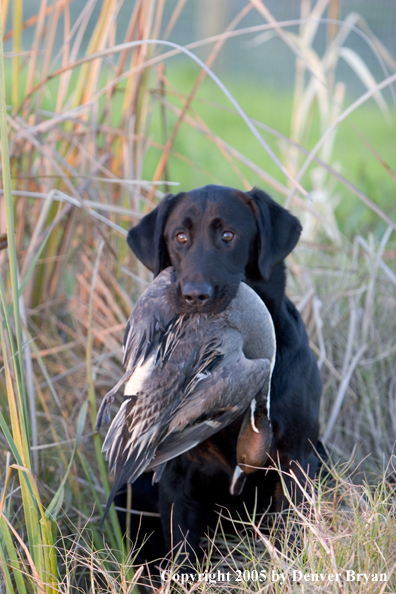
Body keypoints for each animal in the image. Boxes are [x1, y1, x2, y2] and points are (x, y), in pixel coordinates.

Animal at [117, 185, 322, 564]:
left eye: (228, 235)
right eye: (180, 237)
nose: (195, 294)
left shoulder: (296, 459)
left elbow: (292, 534)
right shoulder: (176, 474)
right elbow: (181, 550)